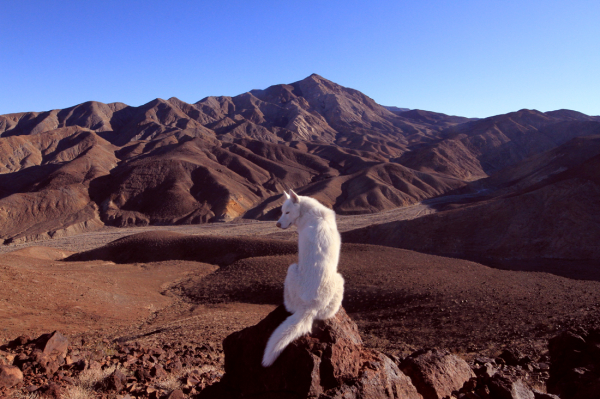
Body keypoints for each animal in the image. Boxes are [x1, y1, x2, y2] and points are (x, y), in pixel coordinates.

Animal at [262, 191, 344, 368]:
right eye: (281, 211)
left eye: (287, 212)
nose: (277, 224)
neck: (311, 214)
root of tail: (309, 306)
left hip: (292, 268)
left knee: (289, 306)